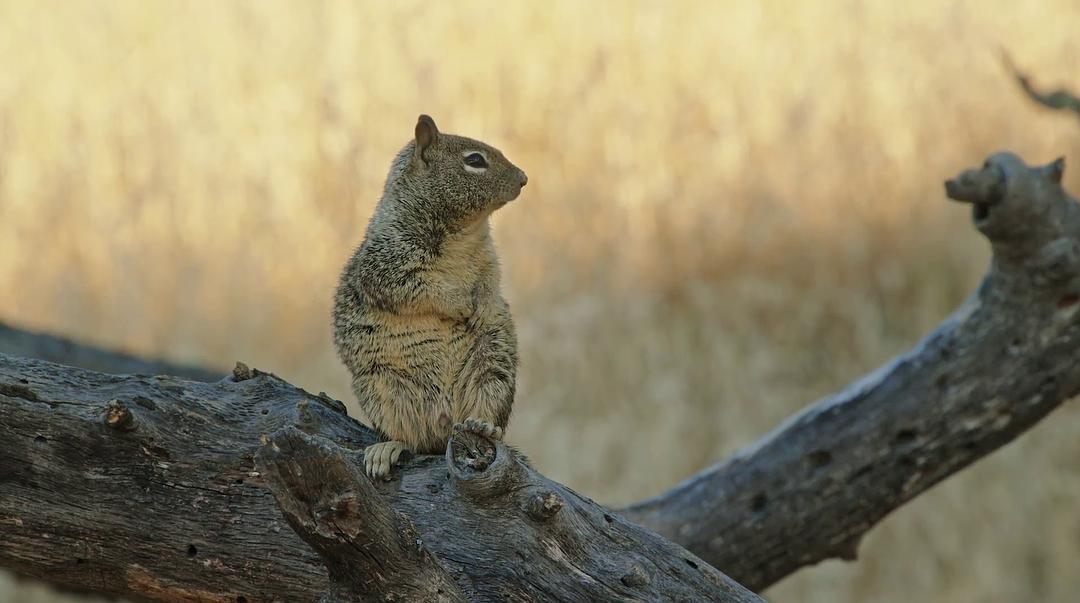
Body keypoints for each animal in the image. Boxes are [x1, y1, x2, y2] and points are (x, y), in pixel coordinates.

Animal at [332, 115, 527, 477]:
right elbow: (421, 290)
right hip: (385, 390)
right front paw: (460, 305)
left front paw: (481, 308)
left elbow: (491, 282)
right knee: (414, 440)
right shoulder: (387, 267)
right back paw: (388, 447)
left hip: (493, 368)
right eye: (475, 160)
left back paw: (483, 426)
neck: (465, 232)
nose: (524, 178)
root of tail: (446, 426)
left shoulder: (489, 259)